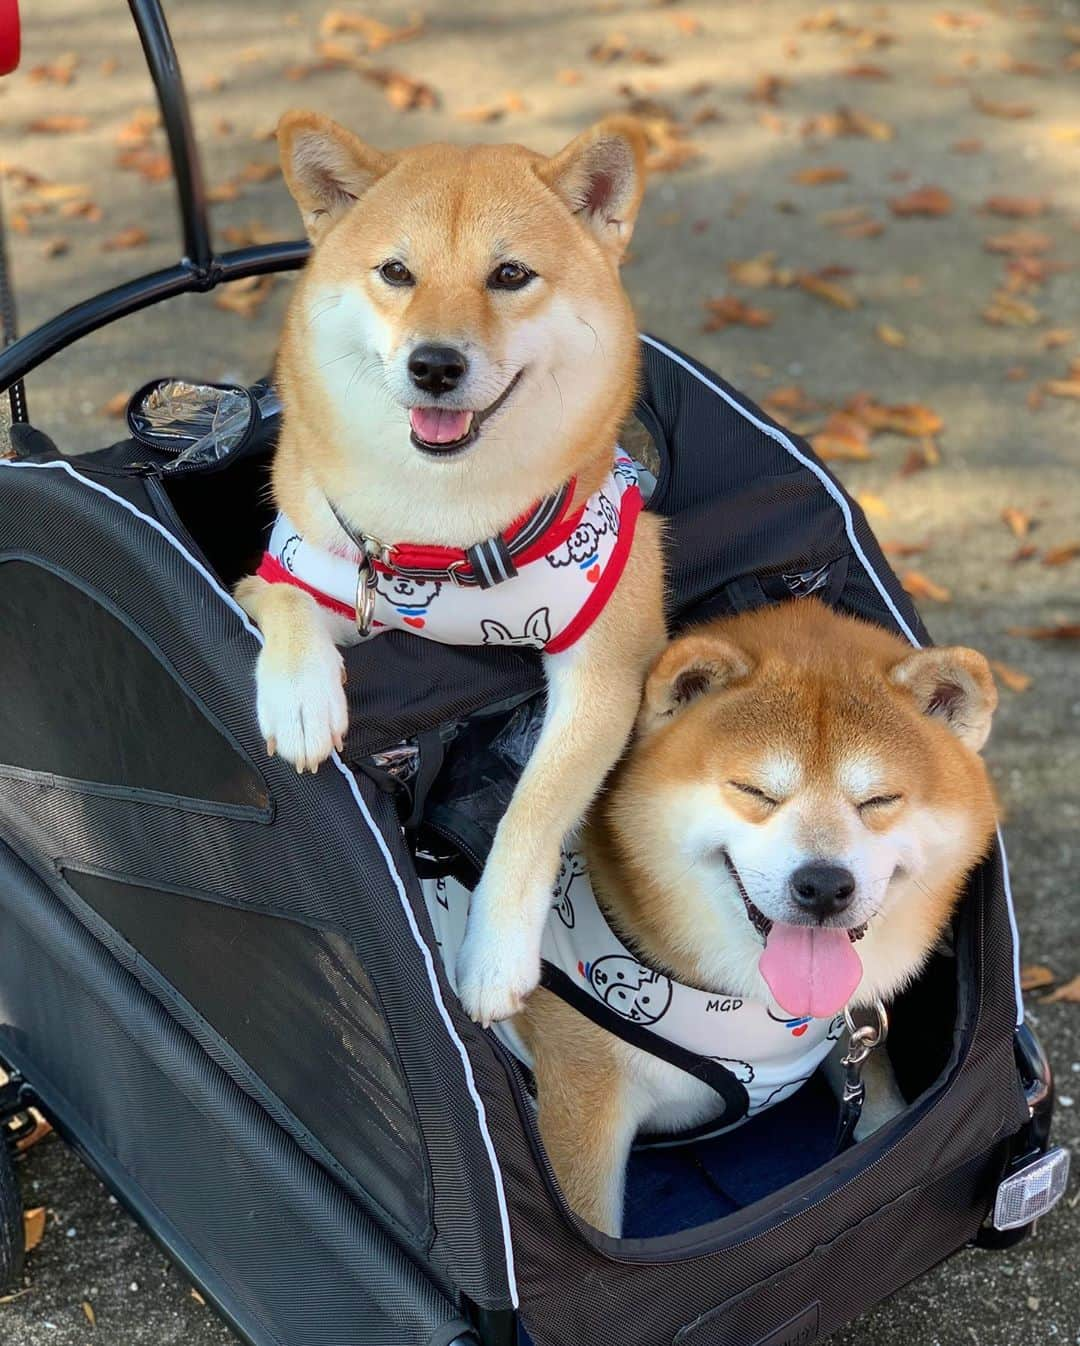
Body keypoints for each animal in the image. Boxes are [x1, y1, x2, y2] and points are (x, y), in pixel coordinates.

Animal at [235, 113, 665, 1017]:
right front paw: (300, 700)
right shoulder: (286, 572)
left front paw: (494, 955)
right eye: (397, 272)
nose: (435, 364)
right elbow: (288, 608)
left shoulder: (606, 667)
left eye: (510, 275)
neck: (441, 535)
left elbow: (532, 811)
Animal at [517, 600, 996, 1232]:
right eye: (755, 791)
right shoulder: (583, 1099)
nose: (824, 886)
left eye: (878, 801)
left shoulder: (852, 1042)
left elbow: (884, 1115)